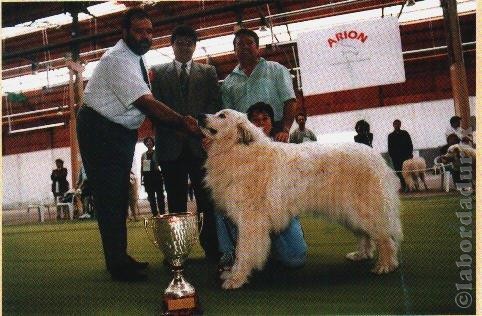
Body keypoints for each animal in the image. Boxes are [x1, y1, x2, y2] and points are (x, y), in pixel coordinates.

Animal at [200, 110, 402, 290]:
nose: (200, 116)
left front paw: (236, 278)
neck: (238, 149)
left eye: (222, 115)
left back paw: (386, 265)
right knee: (364, 234)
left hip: (364, 209)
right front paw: (232, 273)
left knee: (384, 237)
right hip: (350, 211)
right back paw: (362, 254)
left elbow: (243, 252)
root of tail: (375, 156)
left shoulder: (250, 222)